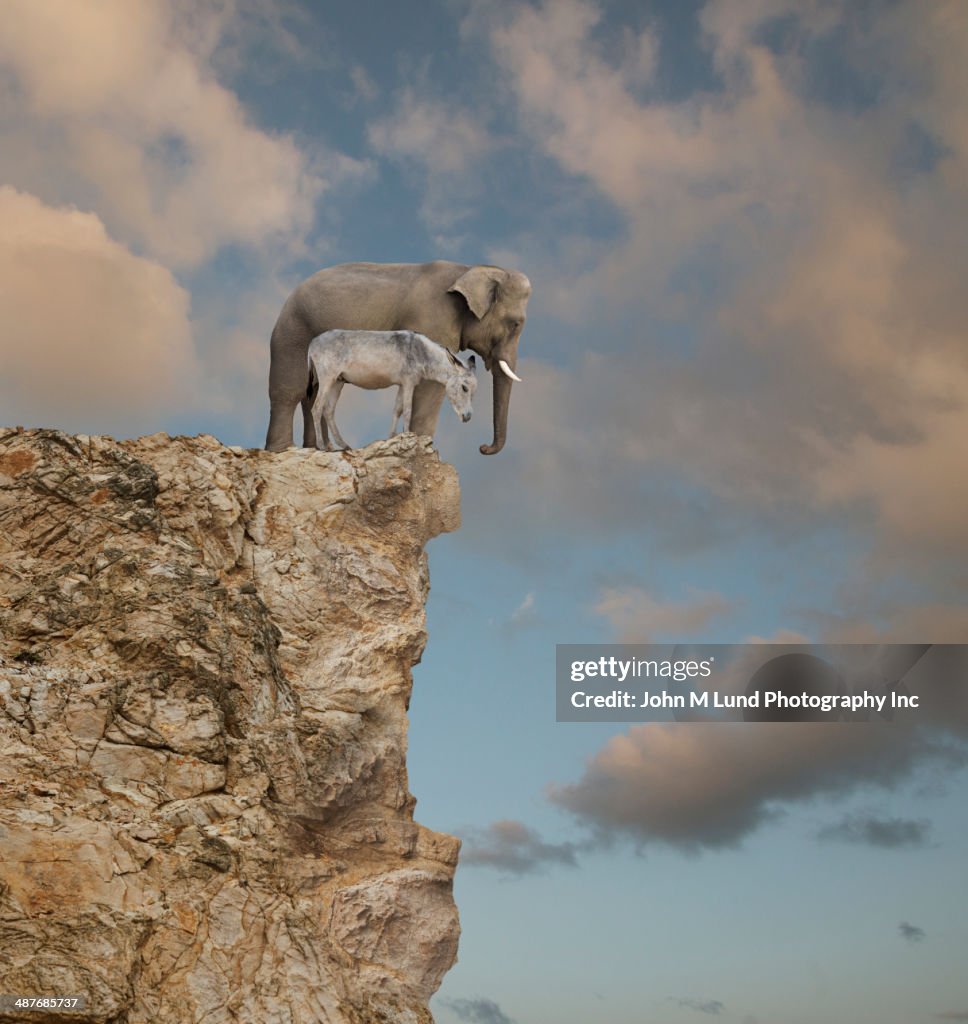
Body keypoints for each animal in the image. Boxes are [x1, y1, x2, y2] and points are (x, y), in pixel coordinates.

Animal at [264, 262, 528, 454]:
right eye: (515, 324)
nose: (483, 447)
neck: (468, 269)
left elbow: (399, 405)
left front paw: (394, 439)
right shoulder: (433, 322)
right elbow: (425, 394)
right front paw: (421, 447)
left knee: (315, 397)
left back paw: (326, 448)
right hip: (292, 333)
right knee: (292, 392)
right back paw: (285, 450)